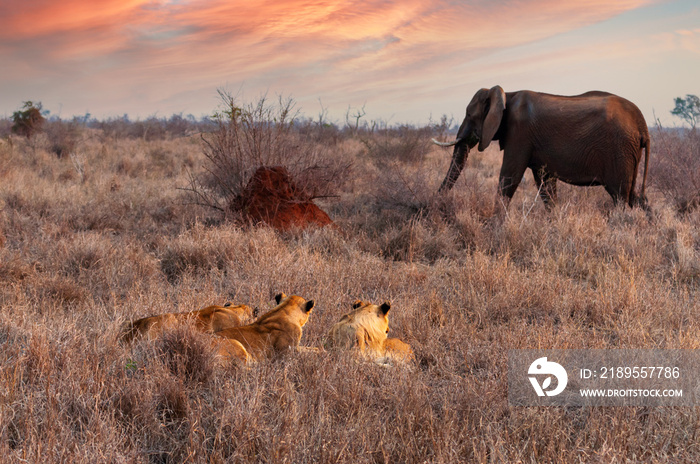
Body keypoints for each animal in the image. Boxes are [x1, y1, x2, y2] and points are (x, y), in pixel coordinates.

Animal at [432, 86, 652, 213]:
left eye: (469, 115)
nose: (434, 204)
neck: (506, 94)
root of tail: (642, 125)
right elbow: (545, 185)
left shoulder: (519, 134)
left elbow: (509, 177)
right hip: (629, 152)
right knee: (635, 197)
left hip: (620, 149)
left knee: (620, 197)